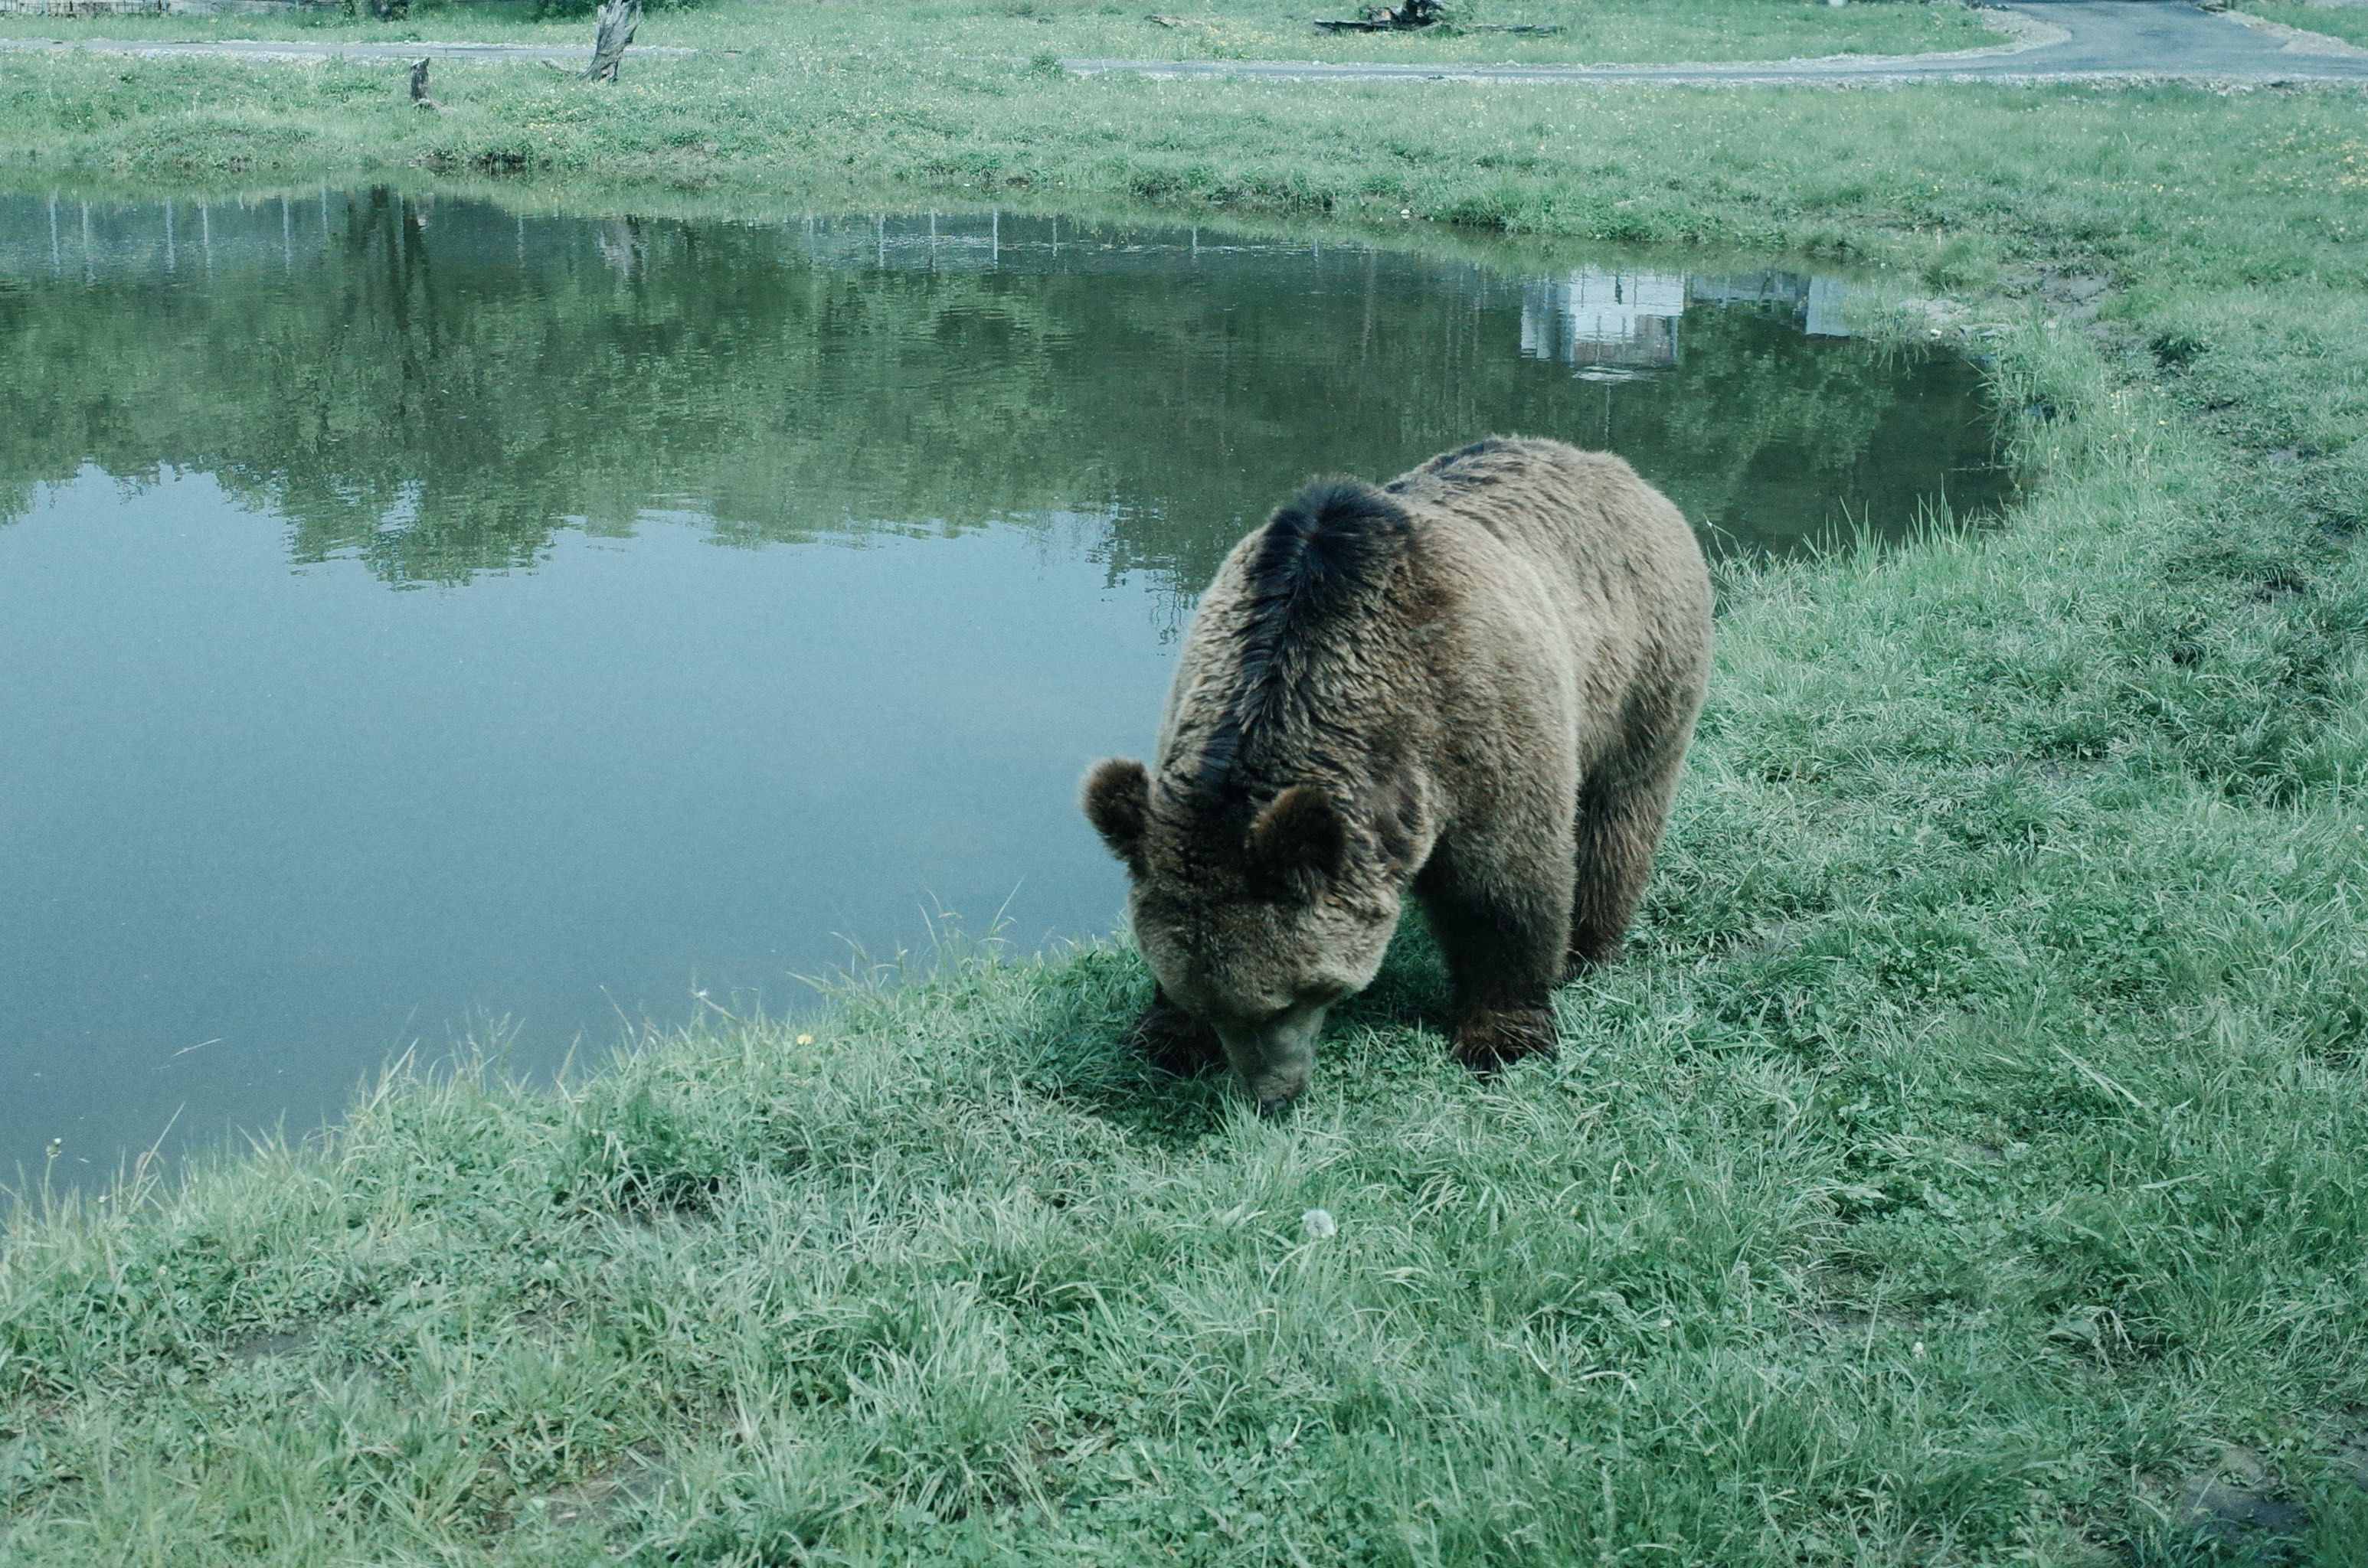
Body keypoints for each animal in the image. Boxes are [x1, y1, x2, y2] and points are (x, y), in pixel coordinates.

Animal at [1082, 435, 1712, 1113]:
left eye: (1287, 998)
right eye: (1213, 1005)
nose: (1271, 1093)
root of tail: (1617, 469)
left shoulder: (1481, 723)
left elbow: (1505, 888)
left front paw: (1504, 1036)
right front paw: (1165, 1034)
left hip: (1641, 671)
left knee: (1617, 814)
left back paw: (1587, 948)